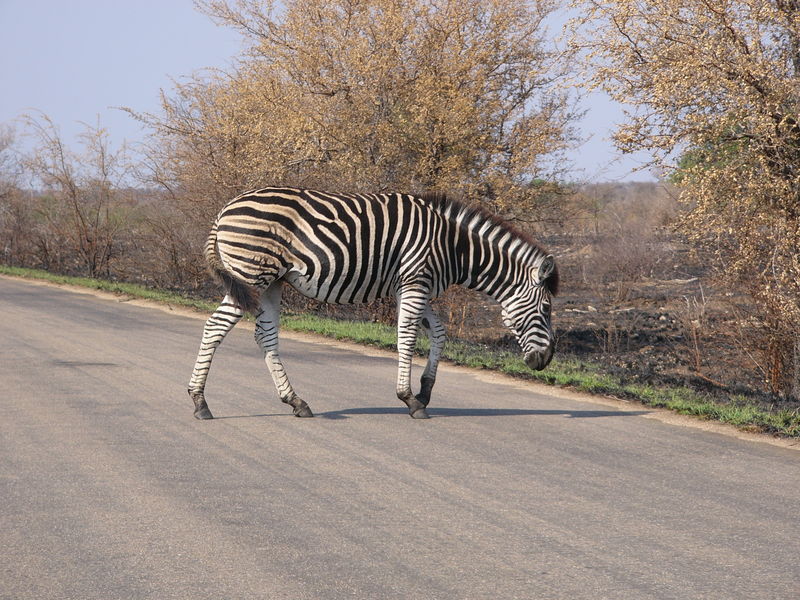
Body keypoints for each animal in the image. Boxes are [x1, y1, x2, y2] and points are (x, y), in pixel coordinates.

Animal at [190, 186, 560, 418]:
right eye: (546, 309)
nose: (544, 361)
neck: (453, 247)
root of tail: (226, 209)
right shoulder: (415, 281)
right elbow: (407, 339)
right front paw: (410, 400)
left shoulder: (412, 285)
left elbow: (439, 333)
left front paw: (425, 391)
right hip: (250, 274)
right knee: (214, 327)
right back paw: (200, 403)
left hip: (271, 282)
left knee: (264, 336)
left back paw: (295, 402)